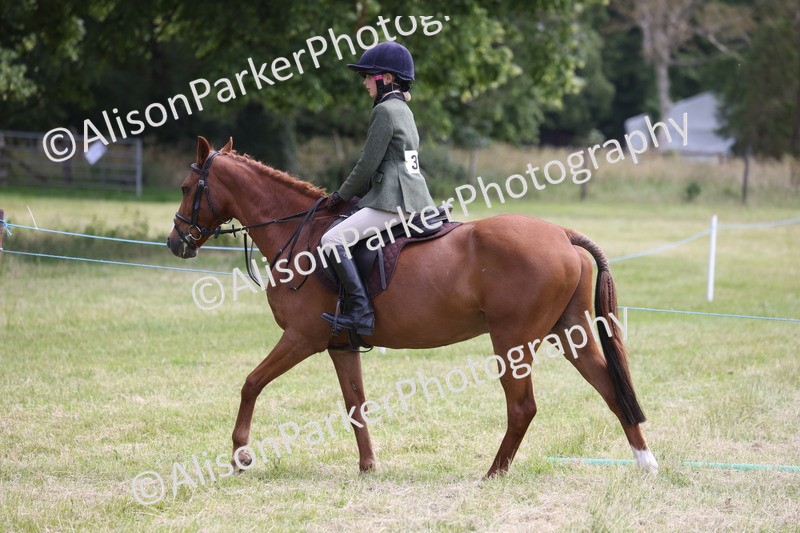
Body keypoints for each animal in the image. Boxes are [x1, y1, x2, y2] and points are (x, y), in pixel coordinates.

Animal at [166, 136, 658, 478]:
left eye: (188, 187)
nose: (176, 242)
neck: (300, 236)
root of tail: (561, 234)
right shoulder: (339, 344)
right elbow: (355, 403)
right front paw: (368, 467)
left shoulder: (301, 337)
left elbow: (251, 383)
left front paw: (240, 454)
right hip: (569, 332)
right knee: (613, 392)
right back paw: (646, 464)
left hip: (513, 342)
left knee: (523, 408)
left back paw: (494, 473)